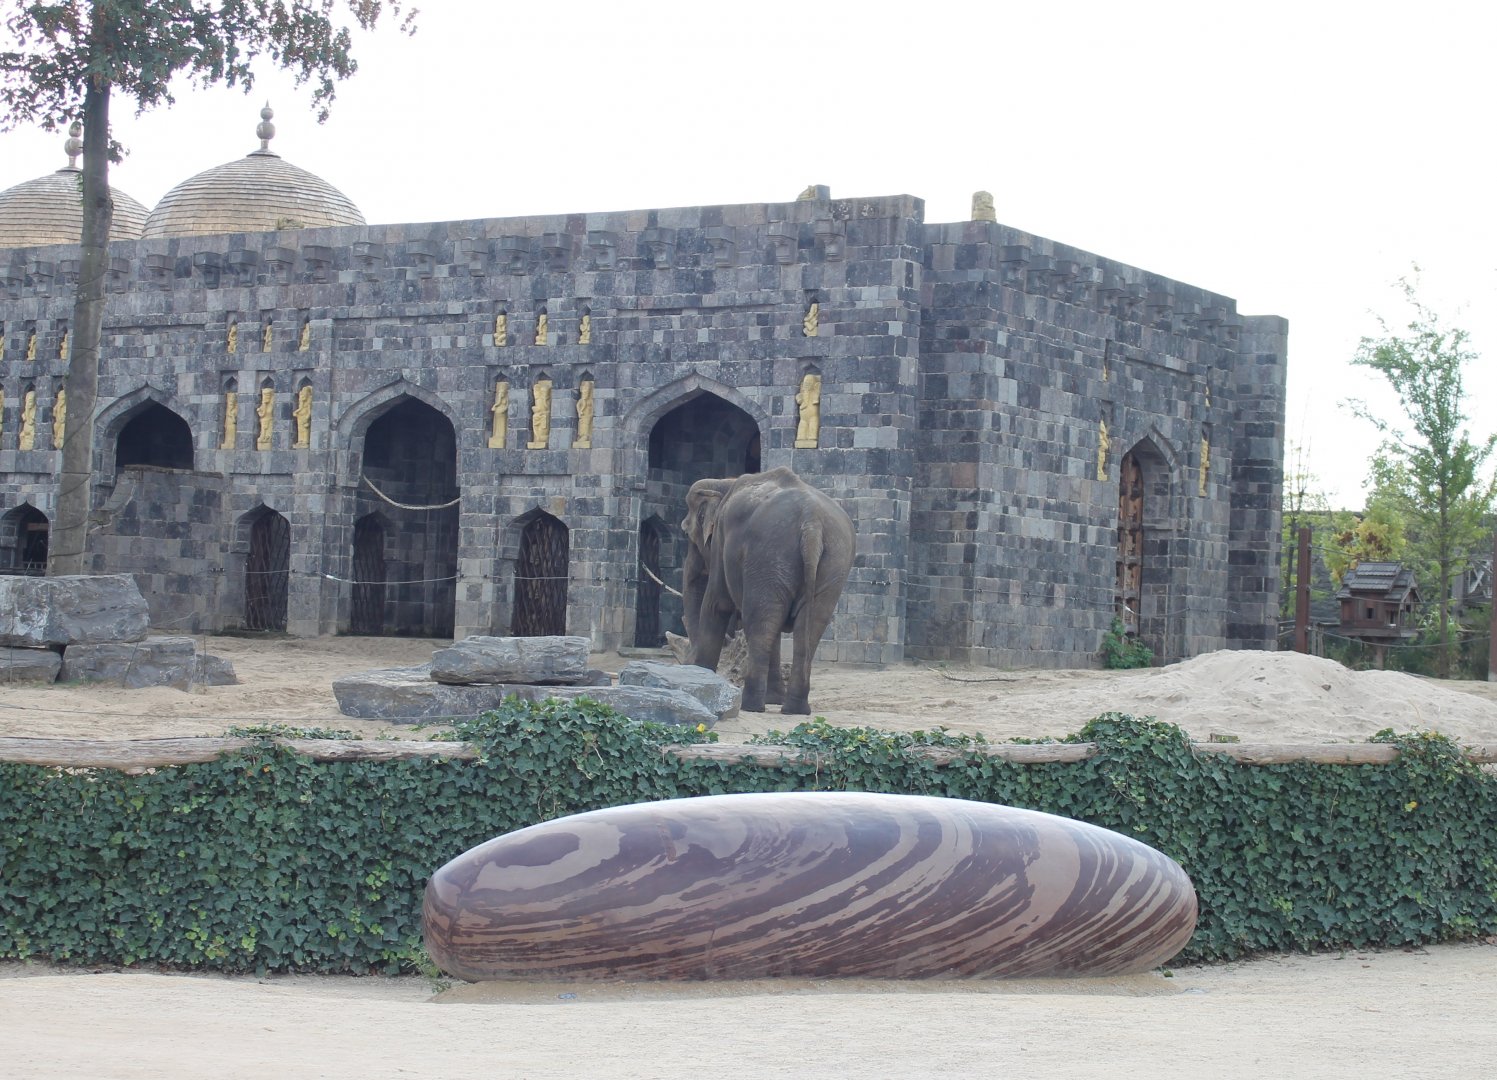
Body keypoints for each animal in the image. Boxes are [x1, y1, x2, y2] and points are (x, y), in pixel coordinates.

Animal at [680, 467, 855, 714]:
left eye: (686, 534)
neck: (725, 482)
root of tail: (812, 524)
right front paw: (774, 699)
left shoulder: (721, 541)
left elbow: (716, 603)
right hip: (833, 564)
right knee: (807, 625)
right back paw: (794, 708)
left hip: (768, 555)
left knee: (760, 622)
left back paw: (752, 705)